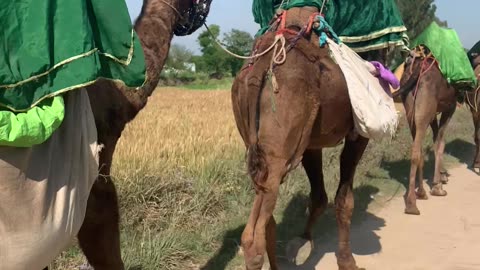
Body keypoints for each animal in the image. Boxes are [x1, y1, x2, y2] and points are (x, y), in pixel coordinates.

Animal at [232, 6, 372, 270]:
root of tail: (263, 64)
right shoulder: (358, 134)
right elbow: (344, 201)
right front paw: (347, 261)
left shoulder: (309, 144)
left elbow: (319, 197)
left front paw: (303, 241)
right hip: (278, 151)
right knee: (252, 238)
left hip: (255, 144)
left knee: (266, 219)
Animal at [394, 45, 458, 216]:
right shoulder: (450, 107)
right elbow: (440, 142)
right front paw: (438, 185)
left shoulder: (434, 112)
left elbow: (436, 139)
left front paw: (441, 178)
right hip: (426, 105)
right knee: (416, 151)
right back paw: (412, 204)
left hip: (411, 107)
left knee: (418, 148)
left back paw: (421, 193)